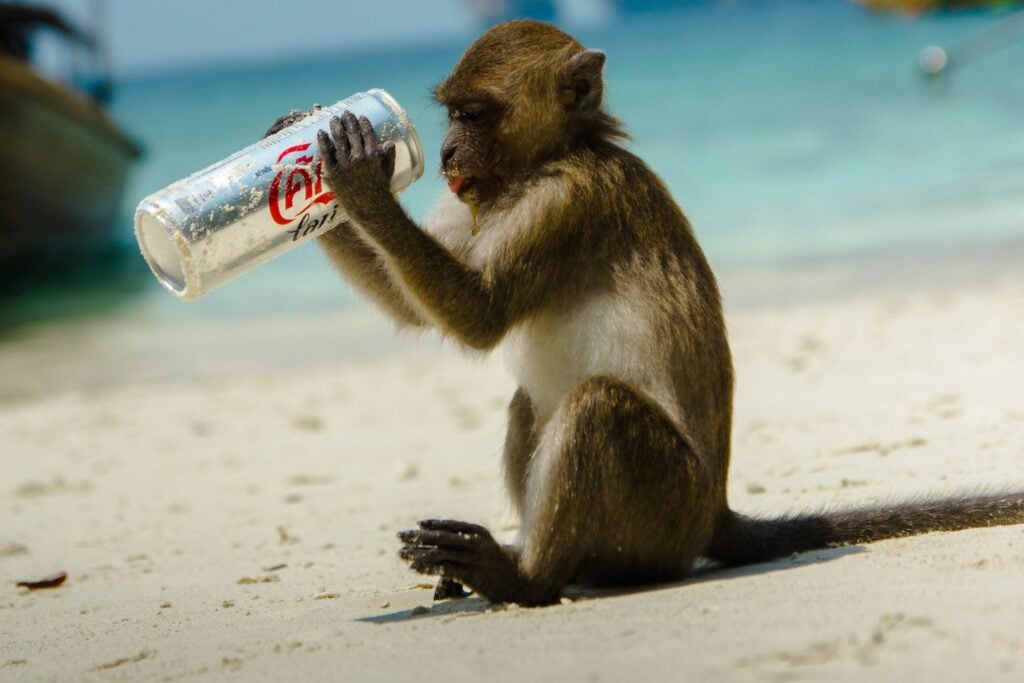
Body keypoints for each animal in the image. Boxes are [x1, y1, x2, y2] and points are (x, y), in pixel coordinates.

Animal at [267, 20, 1024, 606]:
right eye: (451, 115)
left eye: (473, 114)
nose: (448, 152)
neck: (557, 155)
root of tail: (713, 513)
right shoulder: (477, 199)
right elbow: (422, 309)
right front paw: (297, 165)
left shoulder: (568, 201)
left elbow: (480, 317)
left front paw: (357, 178)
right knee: (532, 402)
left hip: (666, 512)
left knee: (597, 405)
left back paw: (527, 578)